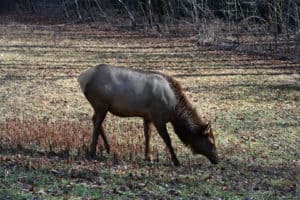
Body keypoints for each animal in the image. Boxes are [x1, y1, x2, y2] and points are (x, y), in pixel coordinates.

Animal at [77, 64, 218, 166]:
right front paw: (176, 161)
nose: (217, 159)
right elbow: (167, 139)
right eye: (211, 141)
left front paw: (147, 157)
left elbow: (147, 136)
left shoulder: (147, 117)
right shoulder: (158, 117)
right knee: (97, 124)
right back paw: (92, 152)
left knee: (95, 120)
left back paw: (107, 148)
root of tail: (82, 78)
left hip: (100, 107)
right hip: (101, 104)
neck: (173, 110)